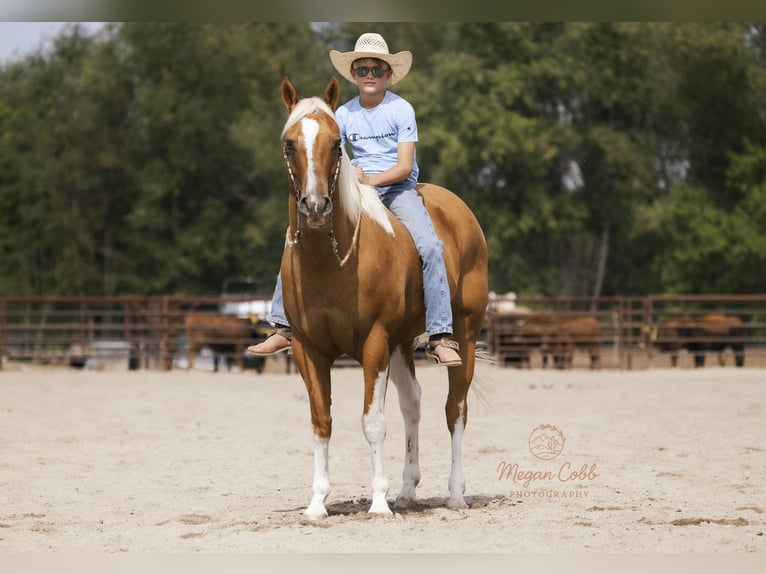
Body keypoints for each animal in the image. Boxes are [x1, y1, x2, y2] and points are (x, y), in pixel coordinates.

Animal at [276, 77, 489, 520]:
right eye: (289, 144)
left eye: (336, 143)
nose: (315, 206)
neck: (332, 260)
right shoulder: (307, 348)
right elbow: (321, 421)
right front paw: (317, 503)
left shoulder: (373, 343)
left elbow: (372, 422)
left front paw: (377, 503)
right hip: (402, 343)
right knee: (413, 405)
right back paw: (407, 491)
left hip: (465, 333)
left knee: (455, 409)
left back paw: (455, 495)